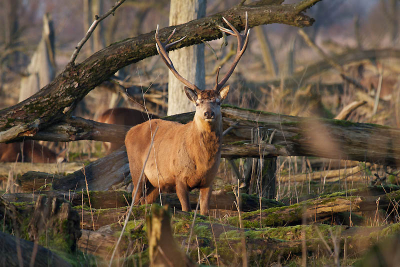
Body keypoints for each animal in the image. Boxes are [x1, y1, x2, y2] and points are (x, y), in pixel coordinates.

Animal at [126, 14, 250, 216]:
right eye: (198, 103)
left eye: (218, 101)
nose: (208, 112)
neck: (201, 162)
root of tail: (129, 132)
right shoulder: (178, 177)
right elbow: (185, 209)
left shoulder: (209, 181)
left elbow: (205, 212)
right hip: (137, 170)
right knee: (134, 198)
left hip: (156, 184)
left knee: (145, 201)